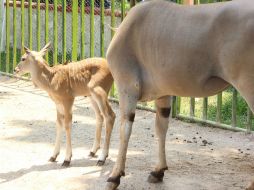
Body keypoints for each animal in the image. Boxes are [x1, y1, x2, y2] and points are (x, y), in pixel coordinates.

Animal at [105, 0, 254, 189]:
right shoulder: (163, 95)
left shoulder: (127, 87)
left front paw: (114, 176)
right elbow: (161, 127)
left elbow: (125, 128)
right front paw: (158, 171)